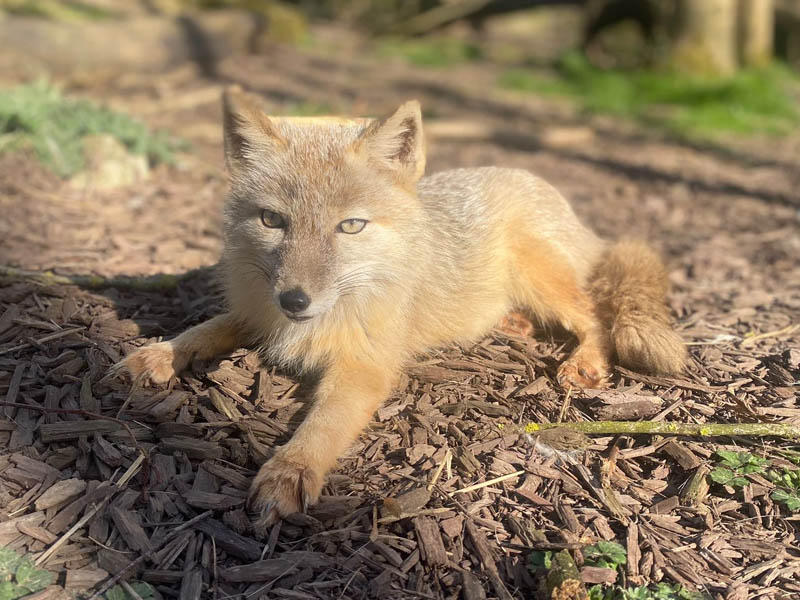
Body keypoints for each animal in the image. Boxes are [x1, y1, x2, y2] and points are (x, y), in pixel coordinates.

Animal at [115, 86, 684, 528]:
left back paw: (584, 360)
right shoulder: (257, 313)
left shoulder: (363, 367)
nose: (295, 299)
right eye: (272, 221)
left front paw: (291, 470)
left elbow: (322, 427)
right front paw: (158, 353)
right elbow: (204, 329)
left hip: (538, 273)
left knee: (597, 317)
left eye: (350, 226)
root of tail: (541, 184)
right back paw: (514, 323)